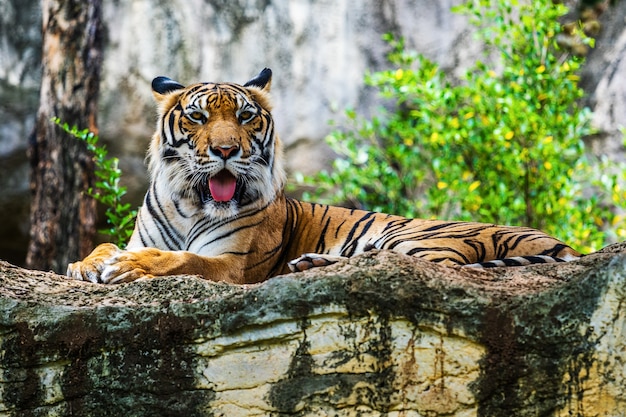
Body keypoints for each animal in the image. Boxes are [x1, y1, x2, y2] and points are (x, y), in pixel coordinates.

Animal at [67, 68, 580, 284]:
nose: (226, 150)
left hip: (421, 238)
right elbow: (106, 244)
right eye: (197, 117)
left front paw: (131, 267)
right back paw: (310, 264)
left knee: (415, 266)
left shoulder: (232, 263)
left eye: (246, 116)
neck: (190, 201)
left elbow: (182, 260)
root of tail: (560, 243)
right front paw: (86, 263)